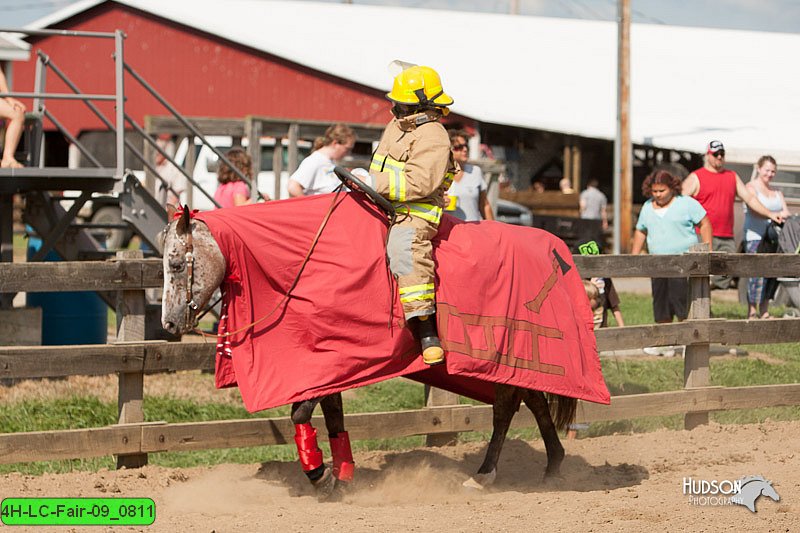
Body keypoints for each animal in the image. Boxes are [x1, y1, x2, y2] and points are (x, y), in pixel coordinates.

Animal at [161, 198, 600, 498]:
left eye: (177, 265)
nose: (168, 323)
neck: (306, 265)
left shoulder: (329, 365)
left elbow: (300, 413)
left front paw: (320, 475)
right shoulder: (327, 366)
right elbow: (333, 418)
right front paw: (343, 474)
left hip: (510, 352)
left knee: (507, 408)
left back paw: (487, 474)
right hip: (513, 361)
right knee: (533, 399)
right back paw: (552, 464)